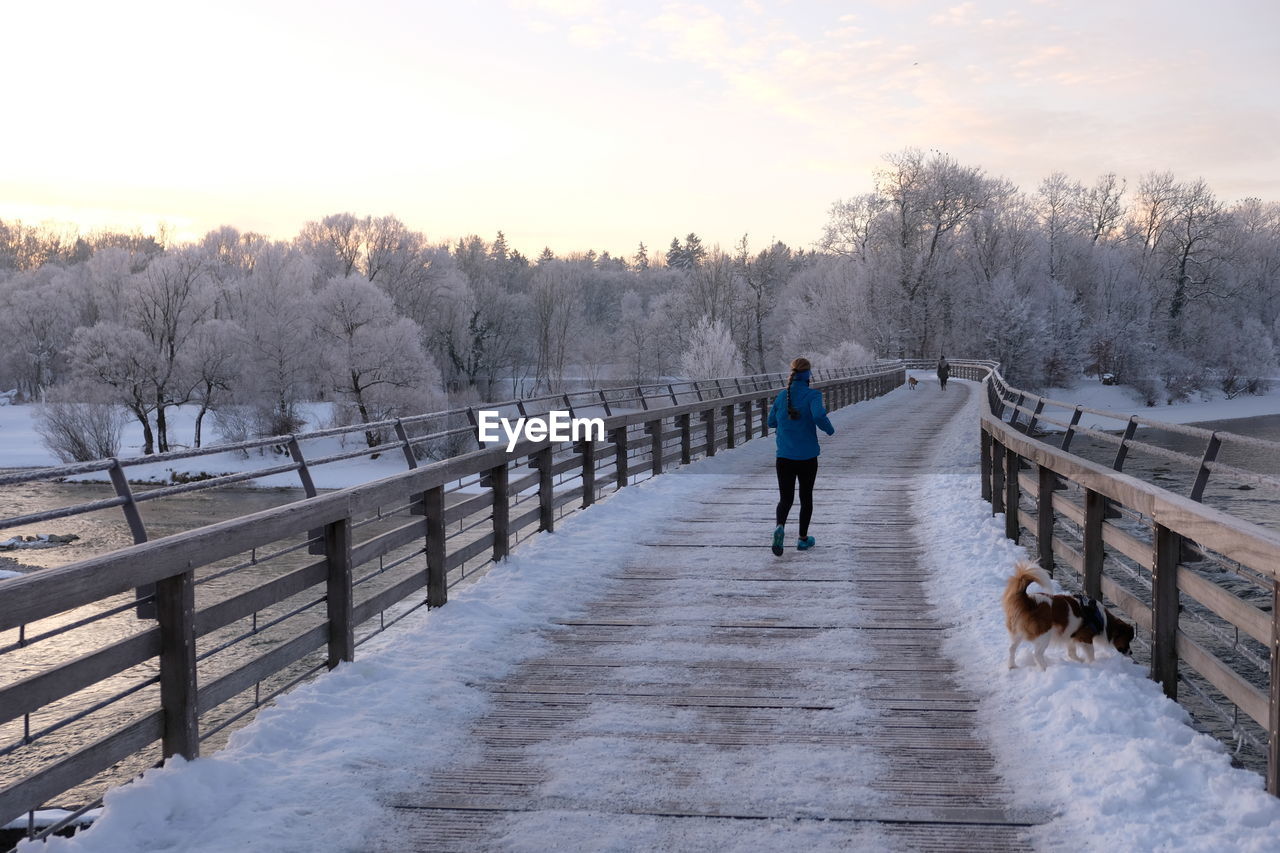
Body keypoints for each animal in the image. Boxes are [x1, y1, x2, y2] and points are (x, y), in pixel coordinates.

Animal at [1003, 560, 1136, 666]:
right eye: (1128, 639)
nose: (1131, 652)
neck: (1102, 620)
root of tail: (1029, 601)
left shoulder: (1072, 637)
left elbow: (1071, 653)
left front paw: (1080, 662)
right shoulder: (1085, 638)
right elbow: (1091, 654)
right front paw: (1092, 664)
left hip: (1017, 633)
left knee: (1011, 649)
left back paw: (1012, 666)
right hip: (1044, 634)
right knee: (1037, 654)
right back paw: (1045, 669)